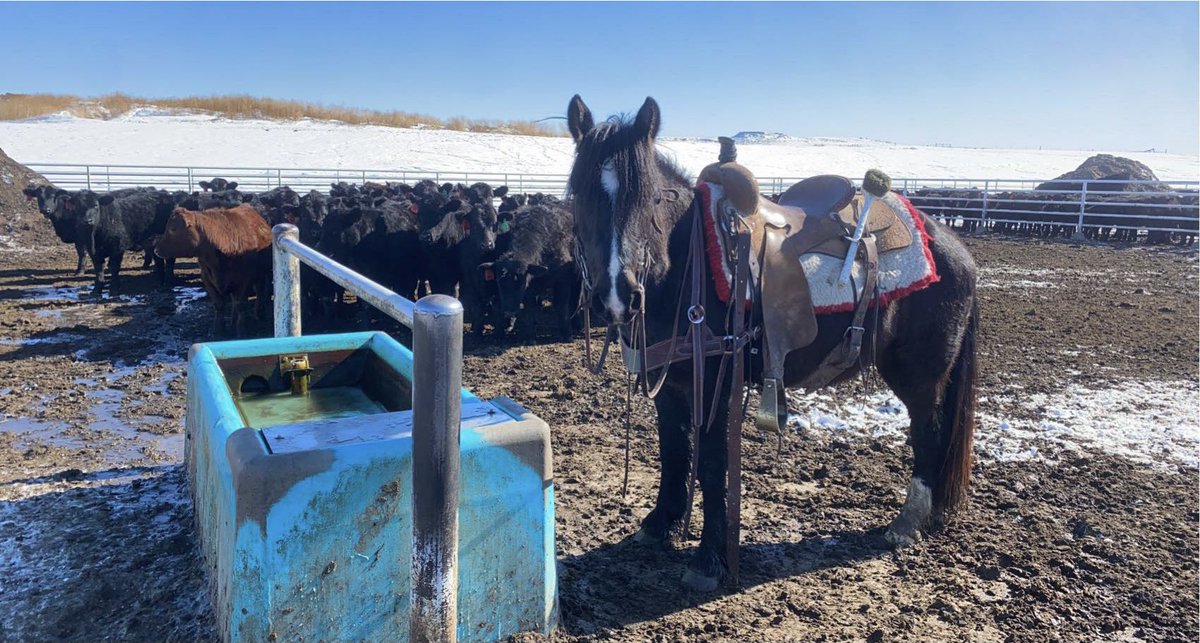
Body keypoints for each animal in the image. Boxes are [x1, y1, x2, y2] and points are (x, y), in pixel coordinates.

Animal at [565, 95, 980, 591]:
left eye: (651, 199)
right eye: (578, 195)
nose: (617, 295)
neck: (687, 261)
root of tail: (953, 246)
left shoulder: (716, 384)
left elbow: (711, 464)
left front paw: (709, 559)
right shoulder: (668, 382)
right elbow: (673, 450)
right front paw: (659, 524)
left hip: (921, 374)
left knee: (928, 431)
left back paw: (906, 523)